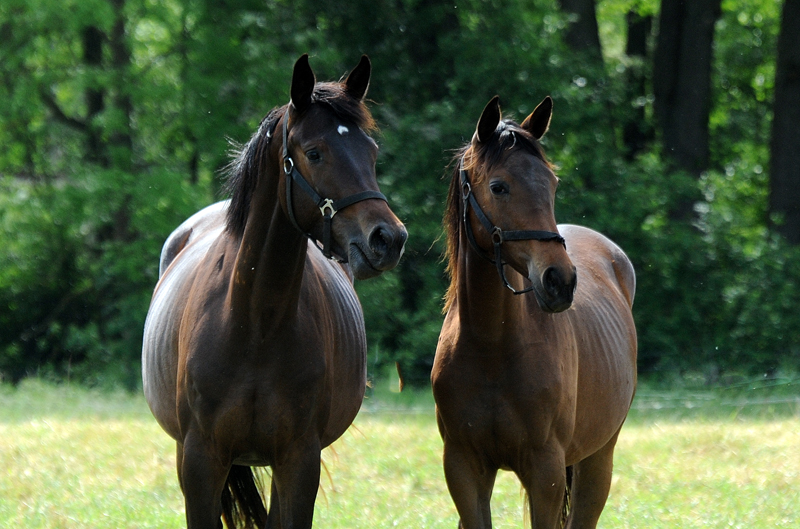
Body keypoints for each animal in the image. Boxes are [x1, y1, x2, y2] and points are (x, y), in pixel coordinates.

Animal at [141, 54, 406, 528]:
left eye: (371, 152)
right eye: (314, 152)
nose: (387, 239)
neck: (254, 322)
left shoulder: (299, 461)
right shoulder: (199, 461)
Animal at [432, 96, 636, 528]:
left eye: (552, 184)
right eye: (498, 186)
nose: (560, 280)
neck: (491, 345)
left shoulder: (546, 472)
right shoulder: (463, 468)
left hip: (598, 460)